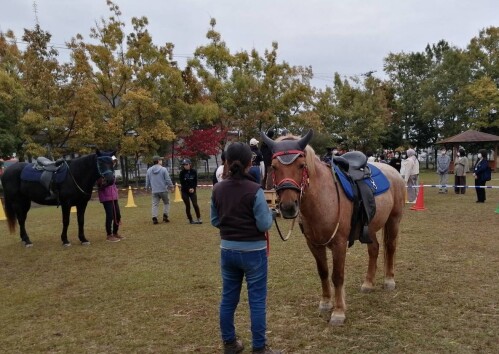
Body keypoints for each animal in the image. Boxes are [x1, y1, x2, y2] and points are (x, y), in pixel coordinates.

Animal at [262, 131, 406, 326]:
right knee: (374, 249)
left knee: (390, 248)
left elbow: (337, 276)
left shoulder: (339, 244)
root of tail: (392, 171)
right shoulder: (314, 245)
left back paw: (389, 280)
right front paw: (325, 303)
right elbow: (323, 272)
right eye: (274, 166)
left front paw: (338, 312)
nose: (288, 207)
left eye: (301, 165)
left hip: (393, 220)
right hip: (369, 228)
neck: (323, 198)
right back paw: (368, 283)